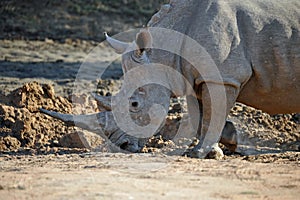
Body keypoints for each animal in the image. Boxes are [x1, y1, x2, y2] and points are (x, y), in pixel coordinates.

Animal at [41, 0, 298, 159]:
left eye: (134, 104)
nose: (122, 147)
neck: (164, 52)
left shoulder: (223, 77)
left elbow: (211, 114)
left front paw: (200, 154)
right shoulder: (198, 78)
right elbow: (204, 115)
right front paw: (227, 140)